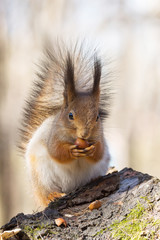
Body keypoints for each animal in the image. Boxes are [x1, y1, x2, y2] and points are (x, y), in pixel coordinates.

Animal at [19, 42, 111, 207]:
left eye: (97, 117)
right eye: (70, 115)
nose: (84, 134)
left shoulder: (100, 137)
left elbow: (99, 152)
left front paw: (93, 150)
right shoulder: (52, 135)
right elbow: (56, 151)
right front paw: (71, 151)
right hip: (41, 175)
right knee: (44, 194)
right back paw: (51, 196)